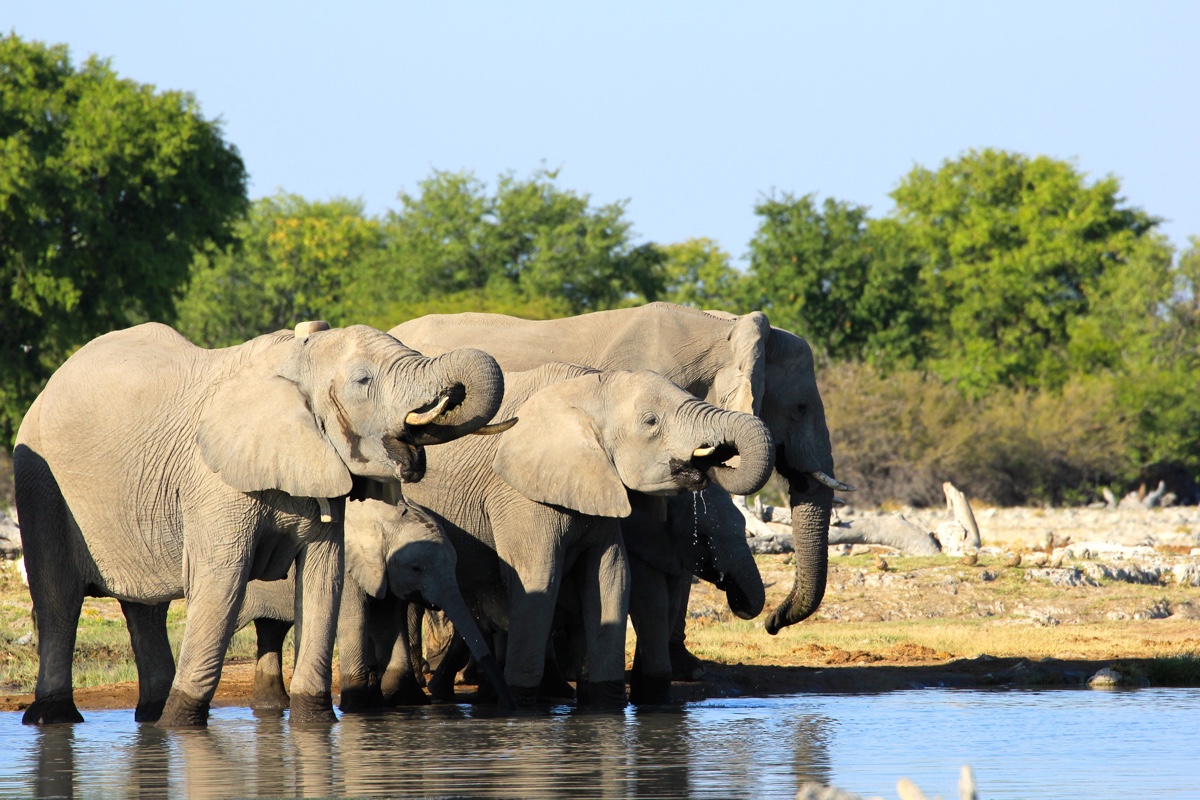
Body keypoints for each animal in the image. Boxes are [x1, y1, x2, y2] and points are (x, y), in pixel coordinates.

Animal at [236, 496, 513, 710]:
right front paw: (357, 707)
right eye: (416, 568)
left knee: (271, 629)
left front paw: (400, 700)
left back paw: (272, 705)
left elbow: (389, 619)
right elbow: (356, 617)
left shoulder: (386, 571)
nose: (510, 705)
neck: (386, 519)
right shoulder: (348, 563)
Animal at [393, 362, 772, 705]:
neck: (590, 388)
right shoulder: (517, 492)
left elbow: (611, 576)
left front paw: (605, 702)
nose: (716, 453)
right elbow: (538, 580)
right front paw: (520, 704)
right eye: (651, 421)